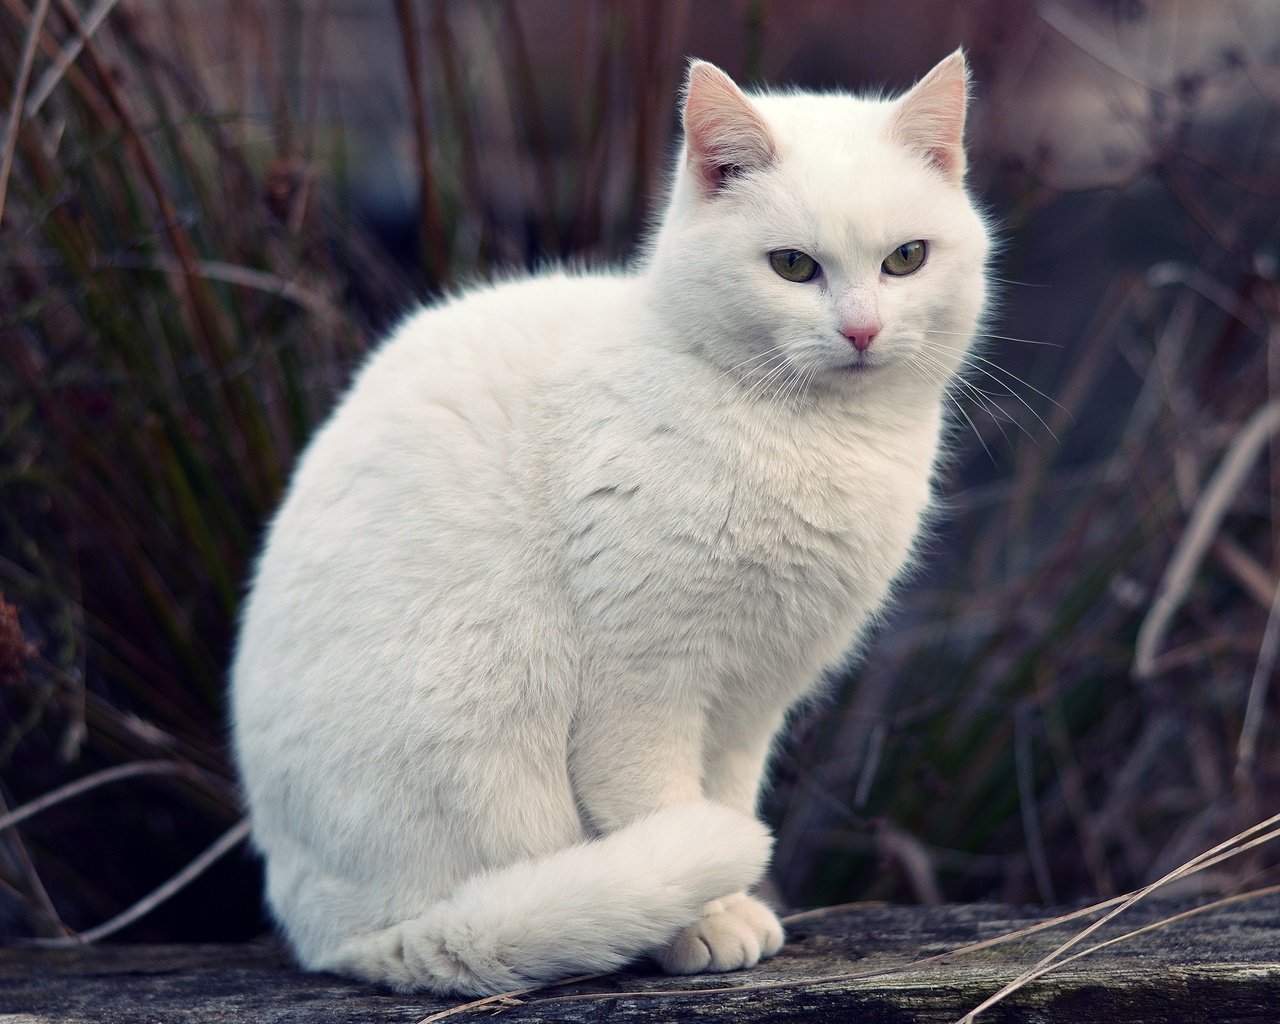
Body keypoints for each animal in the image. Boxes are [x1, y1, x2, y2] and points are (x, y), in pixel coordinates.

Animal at [230, 51, 988, 998]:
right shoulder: (644, 684)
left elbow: (723, 799)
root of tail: (329, 932)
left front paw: (728, 910)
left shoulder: (751, 700)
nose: (861, 331)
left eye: (906, 259)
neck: (812, 438)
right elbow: (659, 807)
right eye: (792, 266)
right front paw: (702, 925)